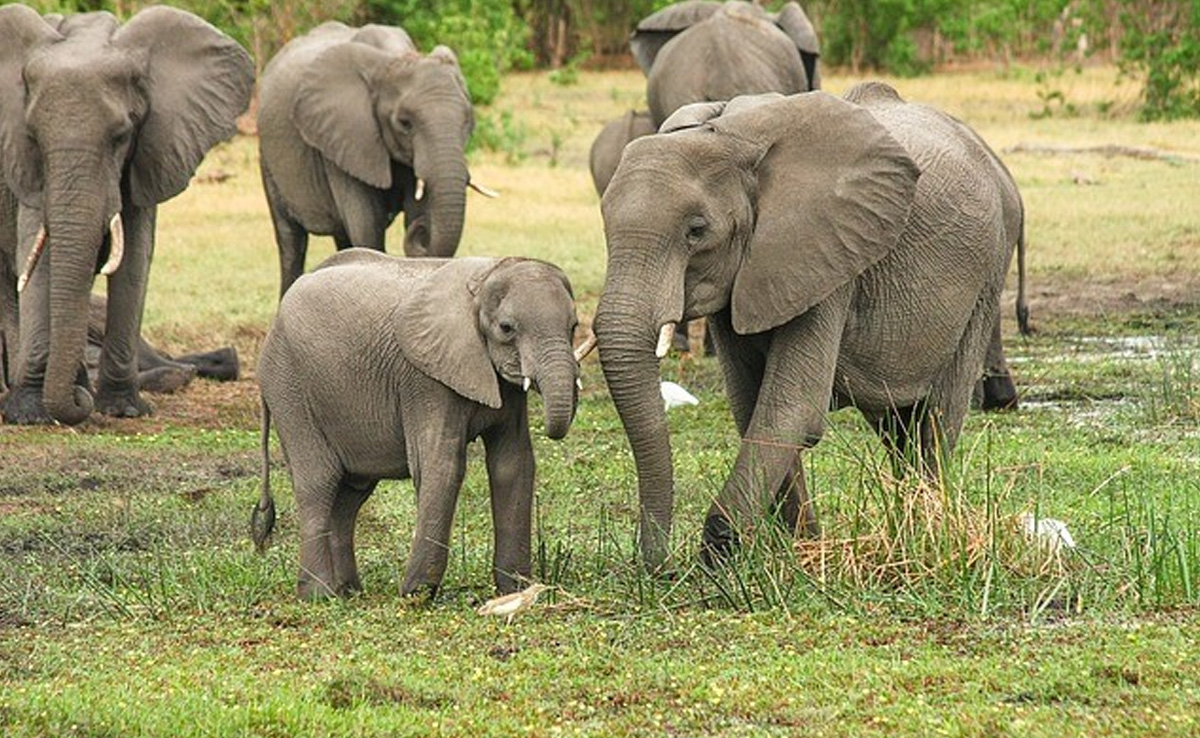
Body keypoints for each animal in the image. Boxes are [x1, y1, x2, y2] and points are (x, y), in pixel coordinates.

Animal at [0, 6, 254, 425]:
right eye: (33, 137)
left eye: (121, 136)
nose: (77, 404)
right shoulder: (23, 167)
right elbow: (36, 257)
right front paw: (30, 414)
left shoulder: (150, 149)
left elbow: (135, 257)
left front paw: (123, 409)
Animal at [252, 249, 587, 600]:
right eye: (507, 328)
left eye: (573, 326)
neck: (485, 276)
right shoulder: (425, 379)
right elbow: (442, 464)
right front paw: (417, 594)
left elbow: (513, 463)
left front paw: (516, 590)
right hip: (289, 387)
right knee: (319, 482)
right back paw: (319, 595)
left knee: (350, 495)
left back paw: (349, 592)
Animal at [258, 22, 487, 298]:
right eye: (405, 123)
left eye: (468, 120)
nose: (422, 231)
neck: (394, 59)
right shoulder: (344, 138)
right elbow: (366, 225)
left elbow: (415, 209)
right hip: (268, 158)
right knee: (291, 241)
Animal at [592, 84, 1028, 571]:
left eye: (696, 231)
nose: (662, 567)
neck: (729, 137)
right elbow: (751, 405)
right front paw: (798, 549)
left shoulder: (828, 257)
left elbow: (791, 407)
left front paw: (720, 555)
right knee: (897, 425)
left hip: (987, 274)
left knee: (936, 417)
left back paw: (925, 532)